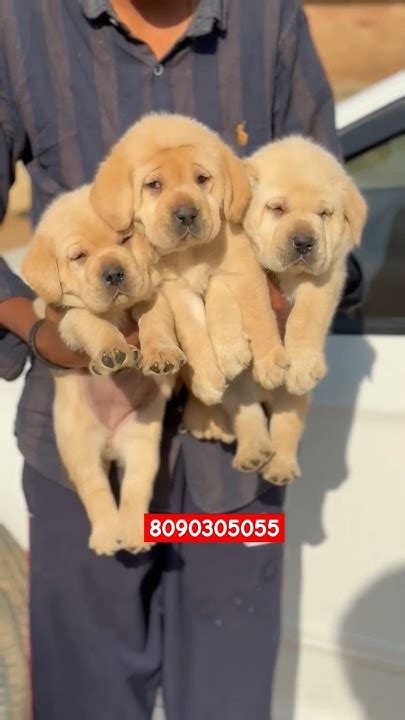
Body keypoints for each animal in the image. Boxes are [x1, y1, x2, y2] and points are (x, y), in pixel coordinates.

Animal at [22, 185, 173, 555]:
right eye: (79, 257)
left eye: (125, 240)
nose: (114, 273)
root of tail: (110, 443)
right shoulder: (65, 316)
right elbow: (93, 323)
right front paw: (112, 352)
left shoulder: (154, 293)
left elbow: (155, 319)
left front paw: (161, 352)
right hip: (79, 448)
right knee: (96, 492)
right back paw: (107, 536)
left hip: (142, 442)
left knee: (135, 488)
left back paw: (134, 534)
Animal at [184, 136, 368, 482]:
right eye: (277, 208)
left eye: (324, 213)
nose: (304, 241)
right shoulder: (232, 259)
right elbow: (221, 298)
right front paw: (230, 348)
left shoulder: (327, 273)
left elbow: (306, 317)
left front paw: (301, 364)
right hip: (237, 391)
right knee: (247, 415)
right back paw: (251, 450)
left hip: (294, 400)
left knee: (285, 424)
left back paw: (280, 465)